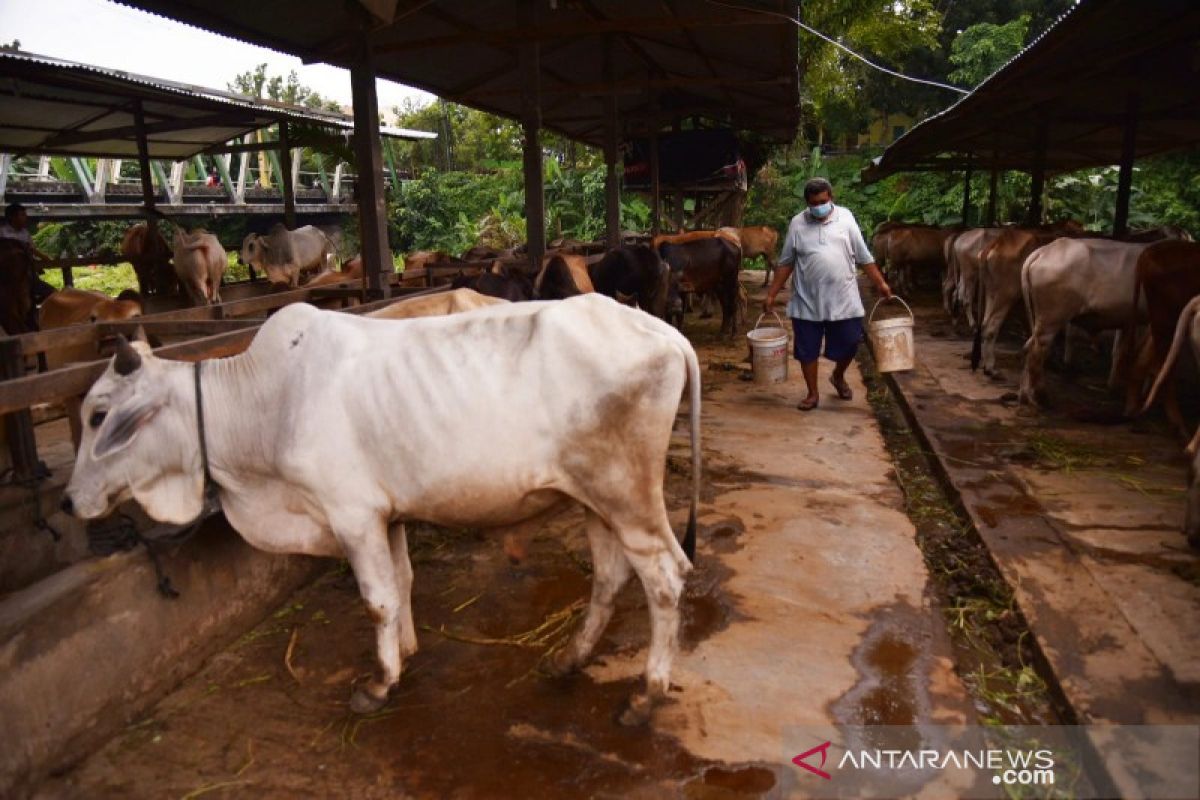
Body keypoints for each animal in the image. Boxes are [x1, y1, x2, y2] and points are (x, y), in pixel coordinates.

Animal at [63, 297, 700, 724]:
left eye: (98, 416)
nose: (69, 501)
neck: (263, 401)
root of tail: (660, 329)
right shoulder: (387, 516)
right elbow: (402, 580)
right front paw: (408, 651)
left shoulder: (353, 516)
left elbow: (376, 600)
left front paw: (379, 683)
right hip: (597, 501)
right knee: (611, 577)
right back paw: (568, 659)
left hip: (628, 497)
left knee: (666, 577)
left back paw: (648, 694)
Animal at [1012, 237, 1152, 407]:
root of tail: (1044, 250)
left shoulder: (1127, 320)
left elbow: (1121, 351)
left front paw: (1115, 387)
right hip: (1052, 317)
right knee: (1036, 353)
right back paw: (1041, 397)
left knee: (1028, 347)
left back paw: (1025, 396)